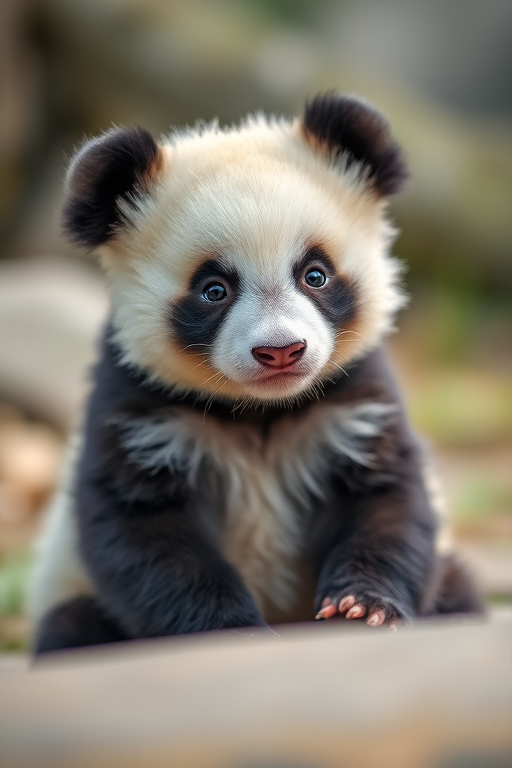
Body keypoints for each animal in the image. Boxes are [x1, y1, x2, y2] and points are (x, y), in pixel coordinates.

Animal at [31, 92, 481, 653]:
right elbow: (143, 530)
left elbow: (388, 502)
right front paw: (230, 632)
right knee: (70, 628)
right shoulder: (140, 411)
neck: (261, 410)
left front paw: (362, 607)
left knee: (460, 588)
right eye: (214, 289)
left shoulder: (356, 403)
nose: (282, 351)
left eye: (315, 275)